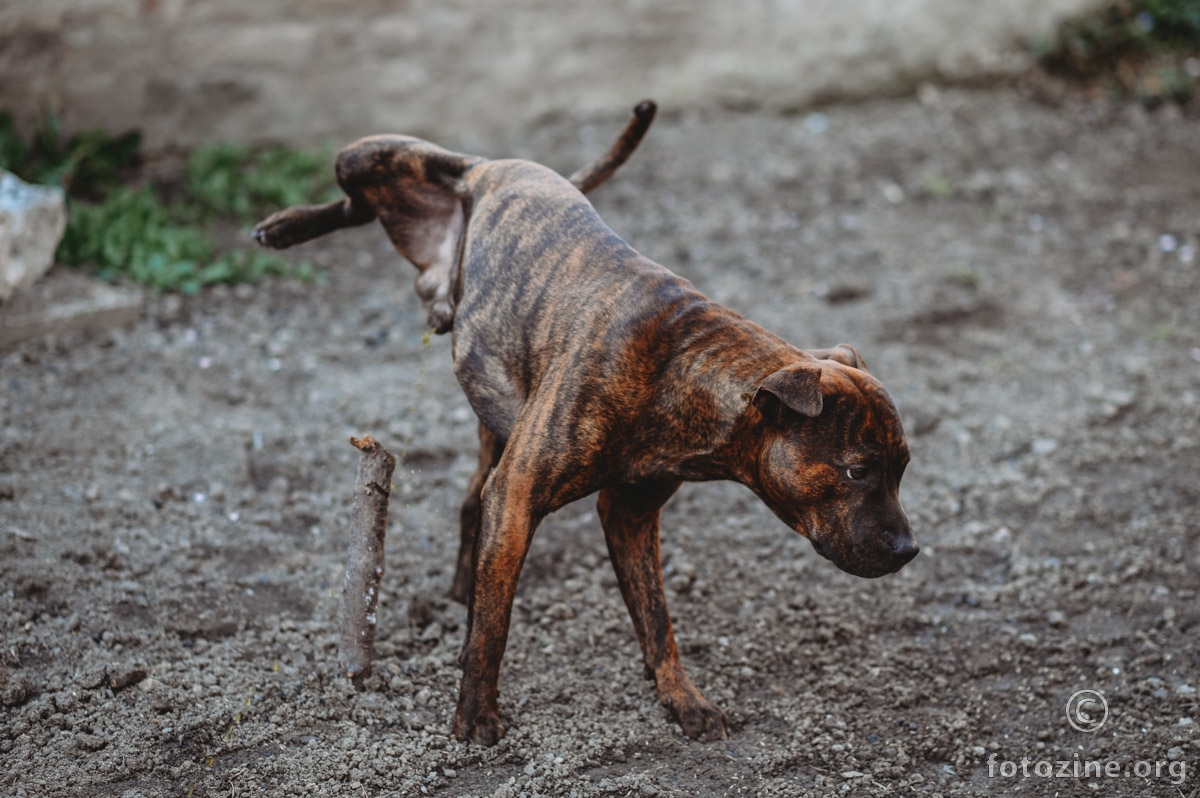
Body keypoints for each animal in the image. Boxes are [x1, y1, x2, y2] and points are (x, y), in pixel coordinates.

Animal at [250, 102, 907, 744]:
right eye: (857, 471)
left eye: (902, 469)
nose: (910, 548)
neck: (683, 364)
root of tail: (495, 170)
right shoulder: (519, 499)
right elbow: (495, 627)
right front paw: (475, 716)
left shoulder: (630, 514)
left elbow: (657, 621)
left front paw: (682, 700)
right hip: (373, 156)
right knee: (355, 200)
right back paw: (283, 227)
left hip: (496, 424)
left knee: (469, 502)